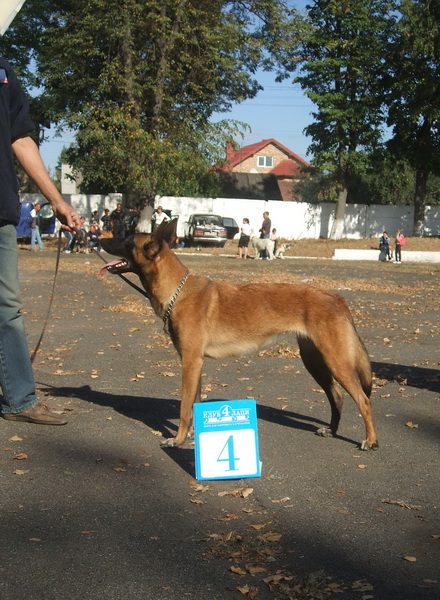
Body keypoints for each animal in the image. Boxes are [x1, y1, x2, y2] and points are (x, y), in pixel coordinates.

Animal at [100, 220, 378, 451]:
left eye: (127, 240)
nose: (98, 240)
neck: (177, 291)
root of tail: (336, 297)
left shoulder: (190, 362)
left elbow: (184, 407)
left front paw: (177, 441)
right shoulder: (196, 365)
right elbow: (194, 405)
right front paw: (191, 437)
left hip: (335, 361)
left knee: (363, 400)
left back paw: (371, 441)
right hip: (315, 362)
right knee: (337, 396)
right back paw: (331, 430)